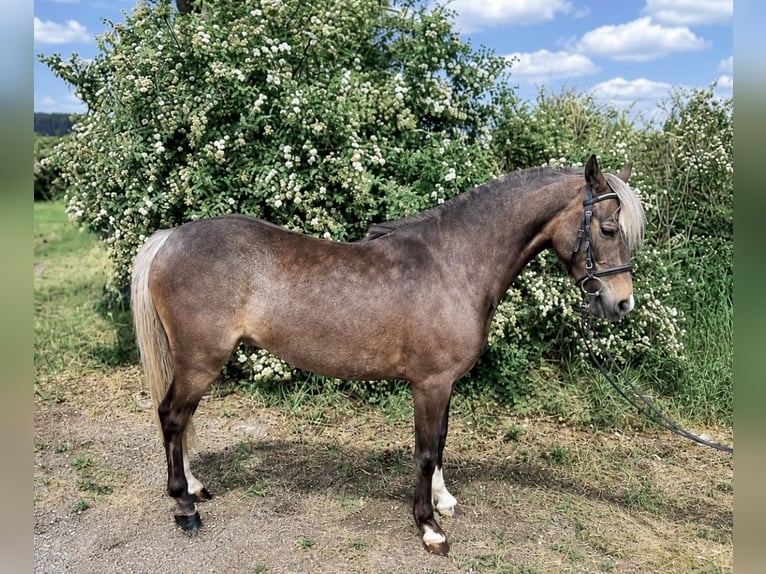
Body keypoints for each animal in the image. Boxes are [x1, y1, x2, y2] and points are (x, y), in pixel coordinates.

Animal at [130, 154, 645, 555]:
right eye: (607, 227)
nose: (621, 304)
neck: (454, 264)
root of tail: (169, 238)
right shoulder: (429, 384)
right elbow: (424, 451)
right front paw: (429, 528)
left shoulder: (445, 384)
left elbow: (440, 444)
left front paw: (442, 500)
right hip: (201, 361)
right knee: (172, 416)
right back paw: (184, 506)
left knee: (178, 419)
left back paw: (194, 487)